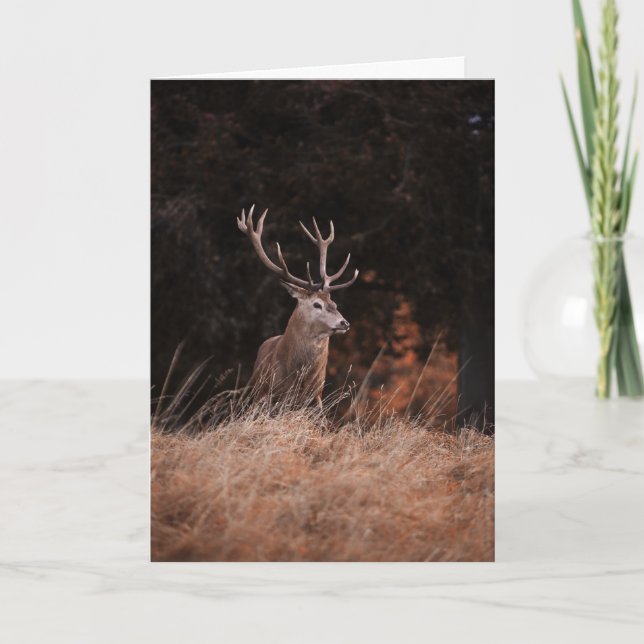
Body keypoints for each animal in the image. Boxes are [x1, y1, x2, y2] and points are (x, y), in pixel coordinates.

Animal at [237, 205, 359, 407]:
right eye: (317, 304)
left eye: (334, 303)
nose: (344, 323)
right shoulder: (269, 395)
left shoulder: (316, 397)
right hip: (254, 391)